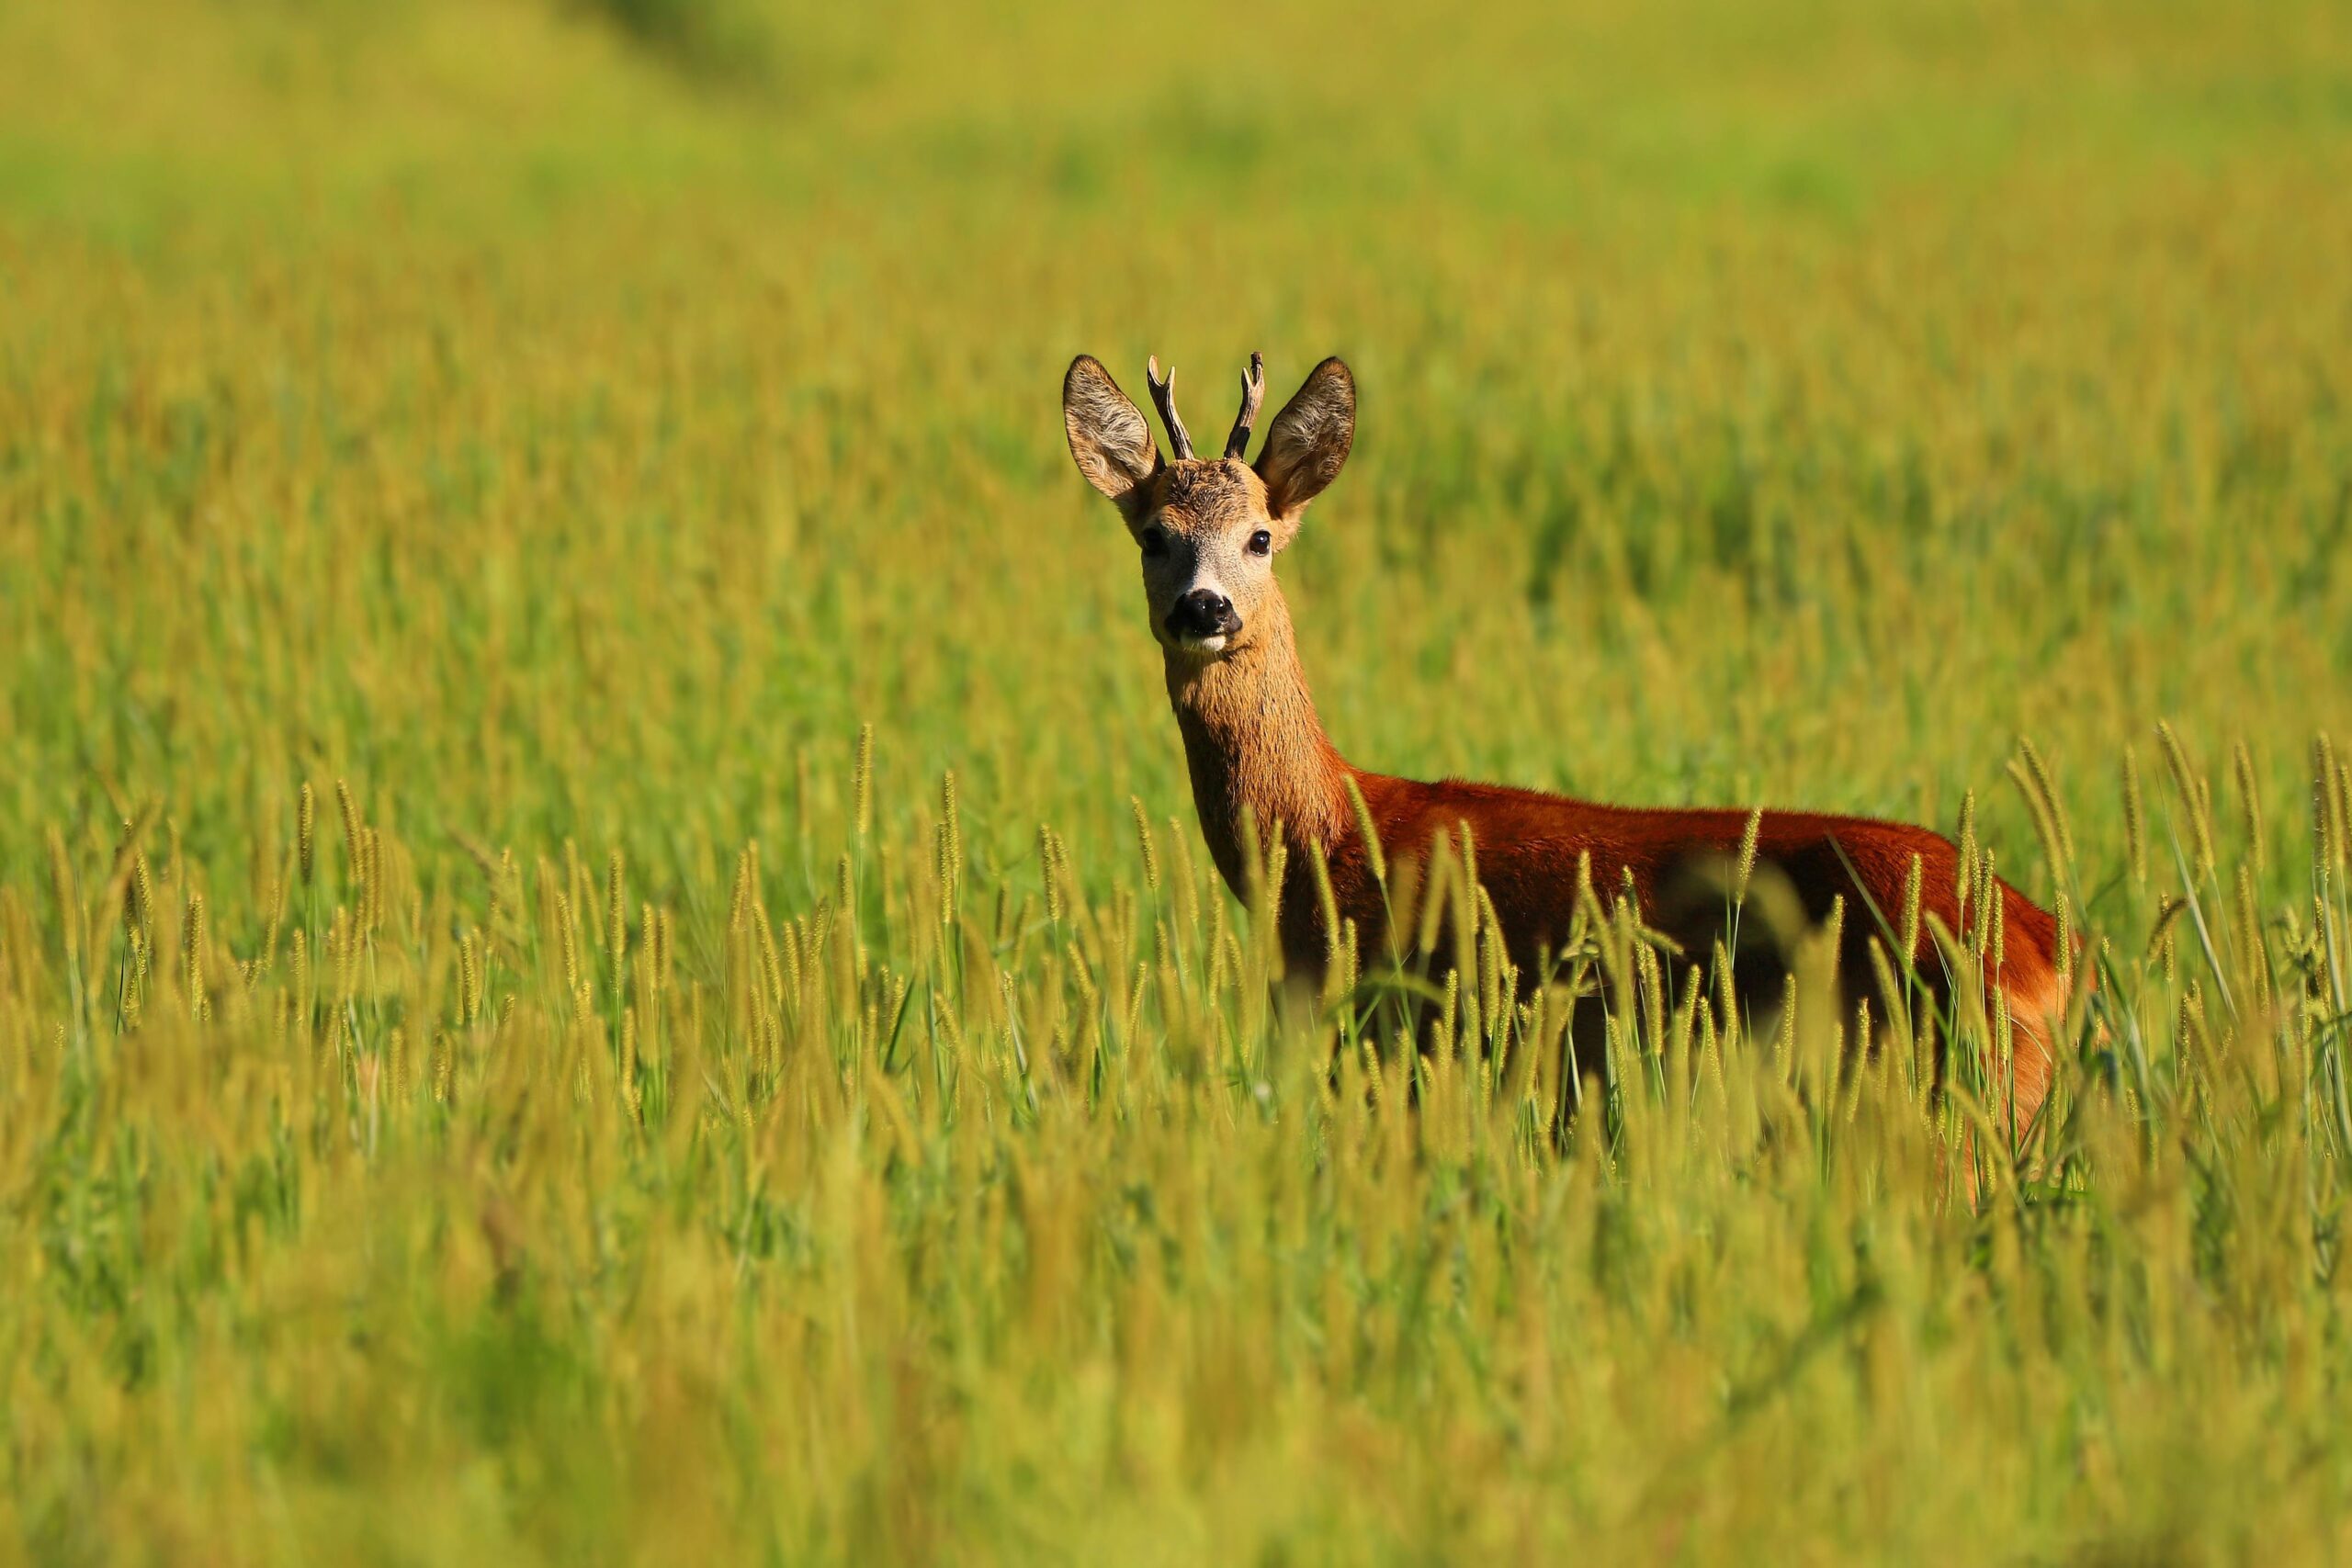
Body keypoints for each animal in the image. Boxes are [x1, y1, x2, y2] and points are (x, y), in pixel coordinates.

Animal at [1061, 350, 2071, 1141]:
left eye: (1261, 536)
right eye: (1154, 537)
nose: (1204, 608)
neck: (1326, 835)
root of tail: (2048, 949)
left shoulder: (1391, 1033)